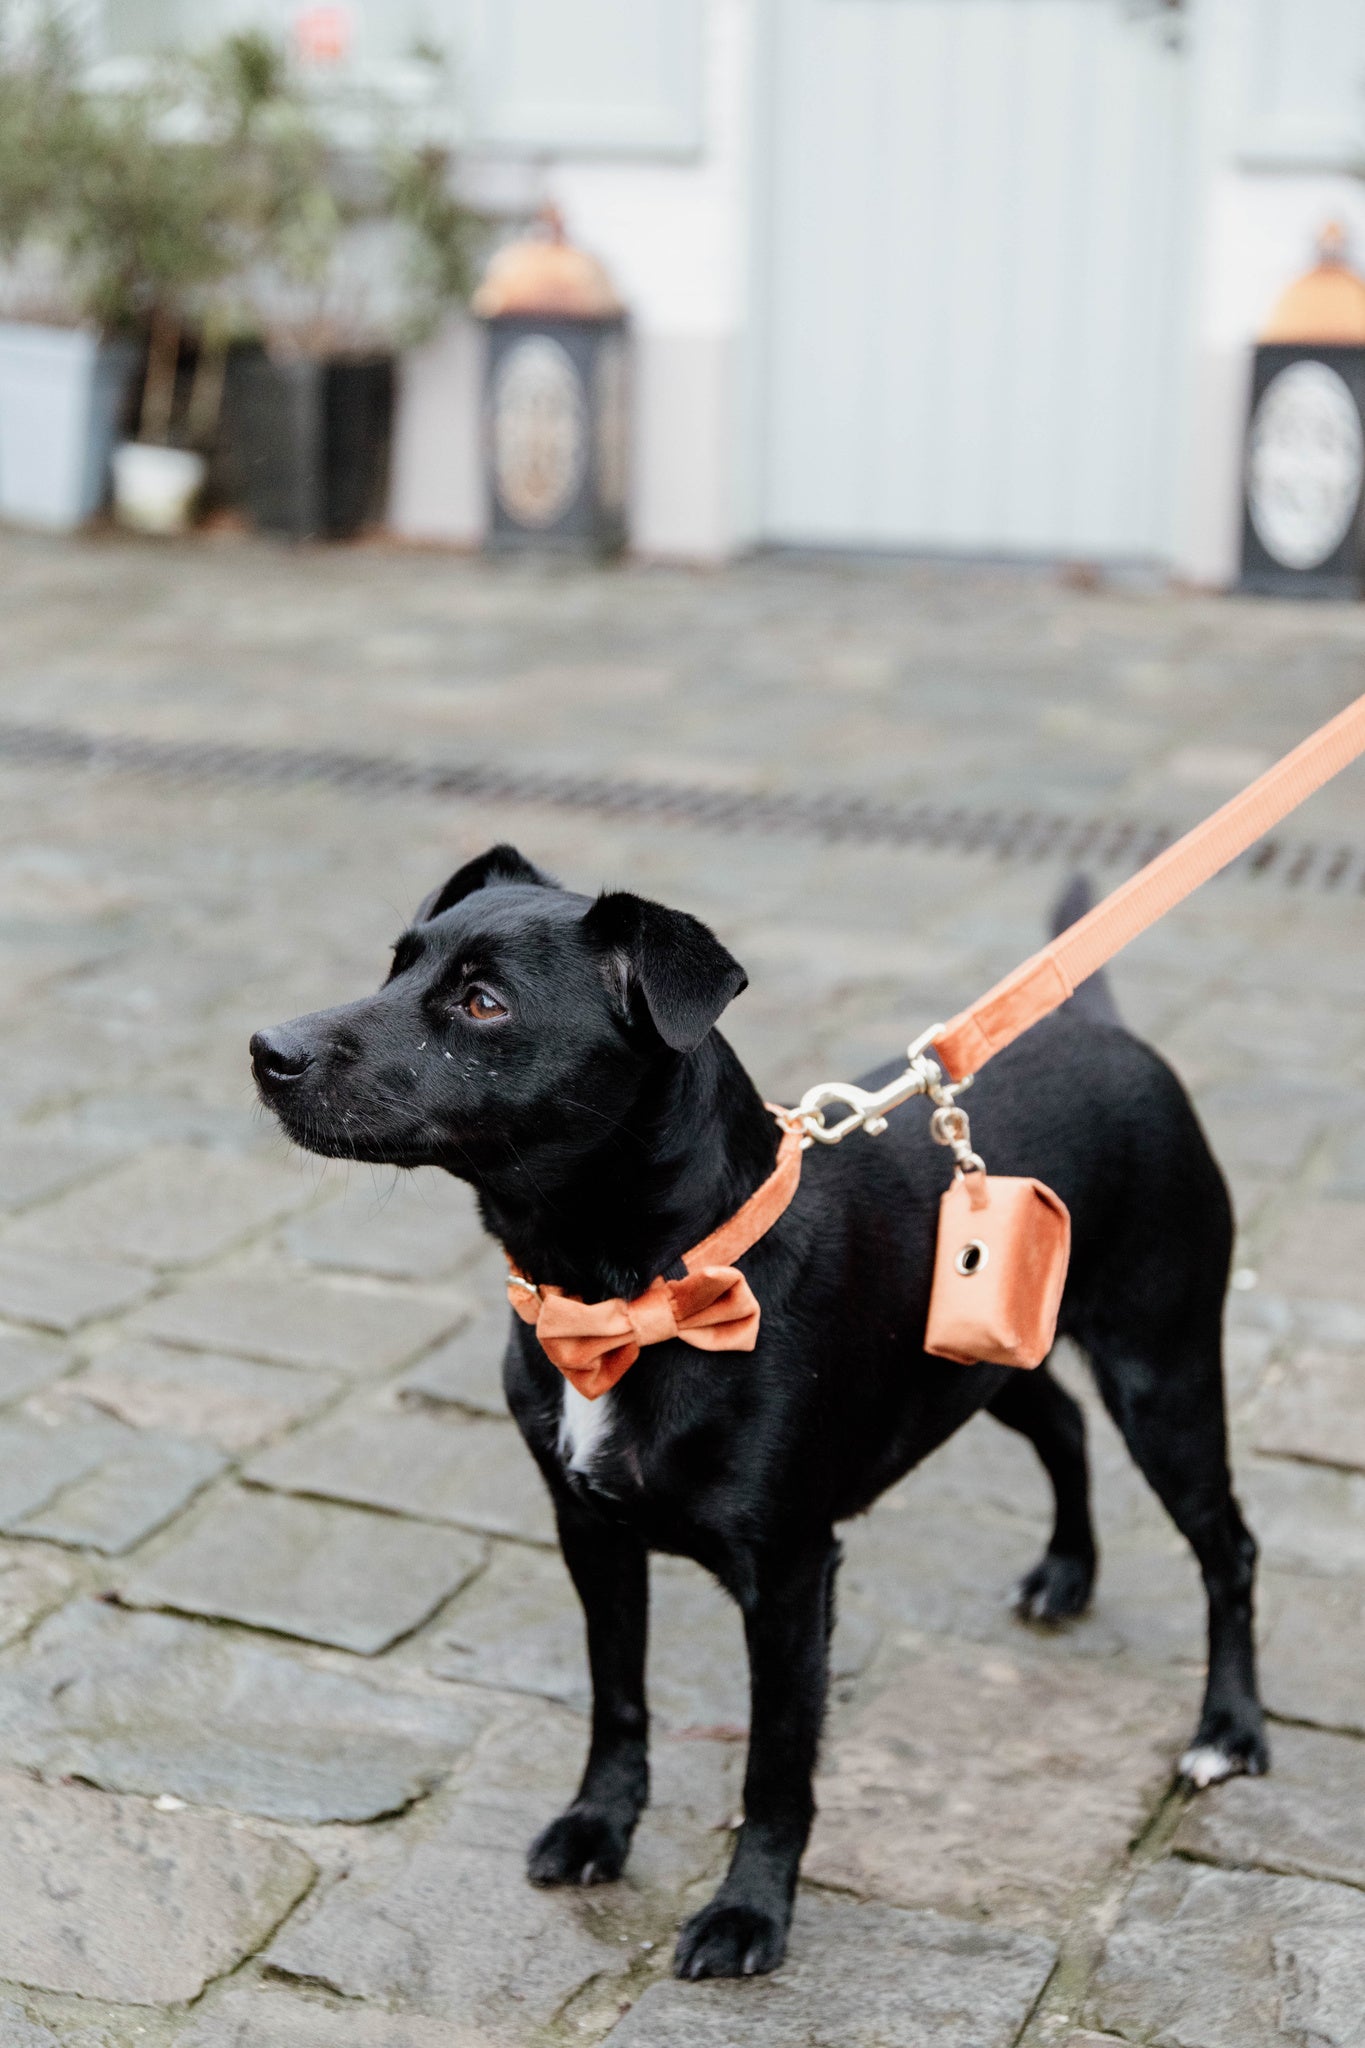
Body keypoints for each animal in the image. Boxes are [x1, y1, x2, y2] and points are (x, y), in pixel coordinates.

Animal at [250, 839, 1268, 1974]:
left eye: (482, 1003)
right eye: (395, 966)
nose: (267, 1049)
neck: (635, 1294)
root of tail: (1105, 1026)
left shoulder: (788, 1575)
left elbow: (776, 1765)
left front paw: (748, 1914)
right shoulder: (589, 1532)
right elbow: (617, 1699)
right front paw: (598, 1826)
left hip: (1163, 1373)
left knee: (1227, 1546)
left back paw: (1228, 1732)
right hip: (984, 1352)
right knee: (1062, 1423)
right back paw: (1066, 1572)